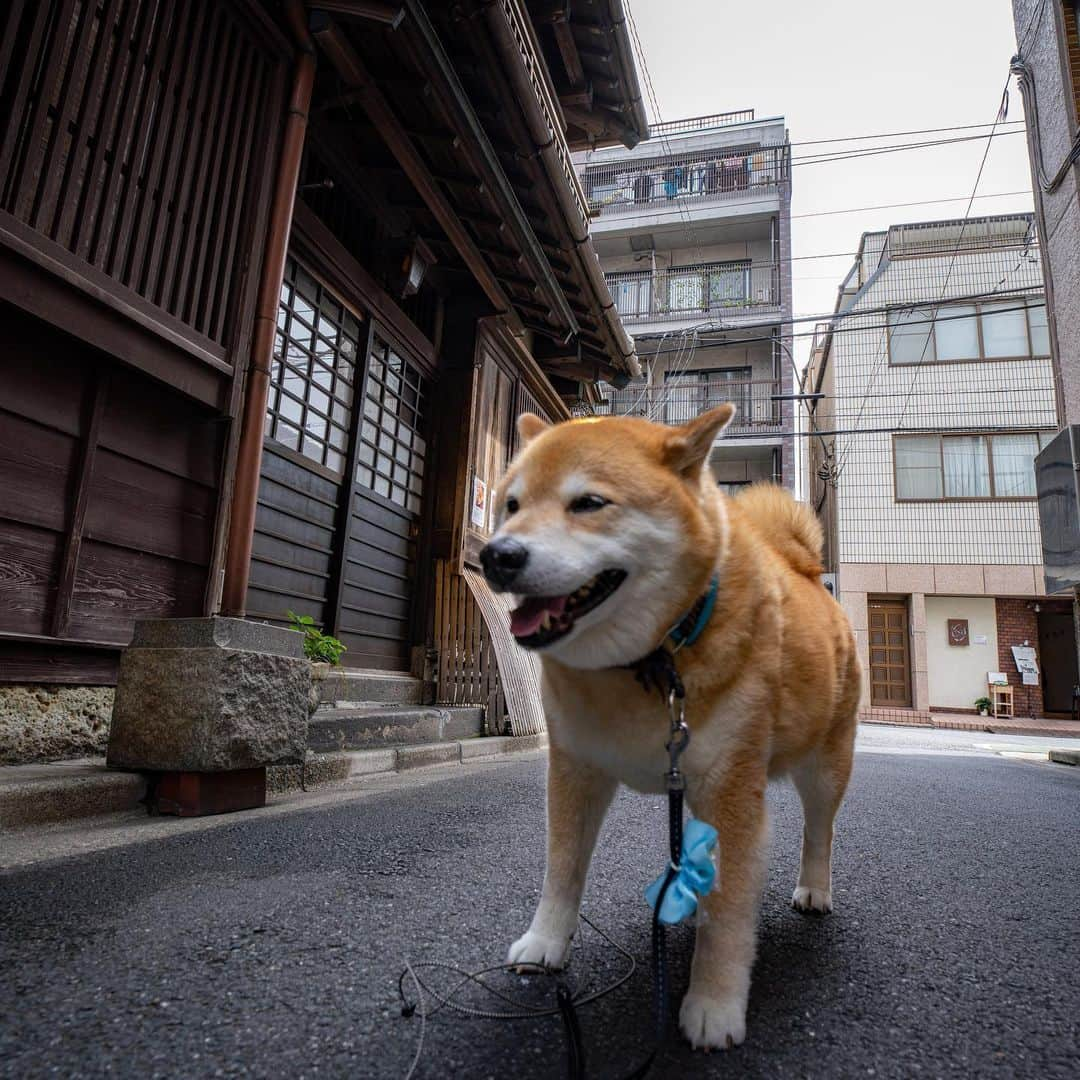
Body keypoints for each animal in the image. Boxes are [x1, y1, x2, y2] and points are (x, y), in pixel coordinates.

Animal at [481, 406, 859, 1045]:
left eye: (588, 502)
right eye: (512, 504)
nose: (496, 556)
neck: (647, 662)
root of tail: (808, 570)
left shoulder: (731, 790)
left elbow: (729, 915)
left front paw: (714, 1004)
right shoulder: (575, 771)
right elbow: (563, 868)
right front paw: (545, 941)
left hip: (824, 766)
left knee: (820, 830)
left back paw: (814, 888)